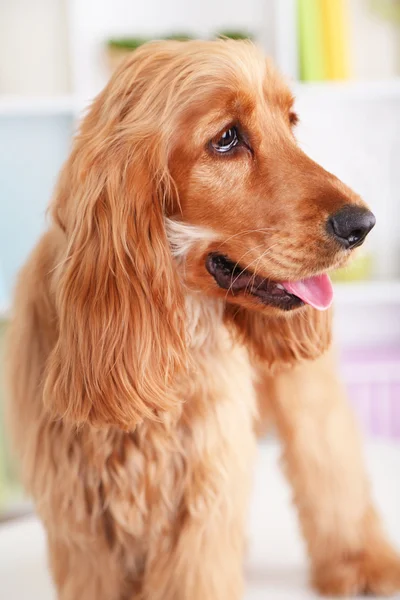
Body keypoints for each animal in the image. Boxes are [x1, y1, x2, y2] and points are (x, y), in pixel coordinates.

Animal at [7, 39, 400, 596]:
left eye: (291, 121)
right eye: (226, 139)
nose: (362, 224)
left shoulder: (200, 508)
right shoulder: (82, 531)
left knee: (331, 466)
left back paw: (363, 563)